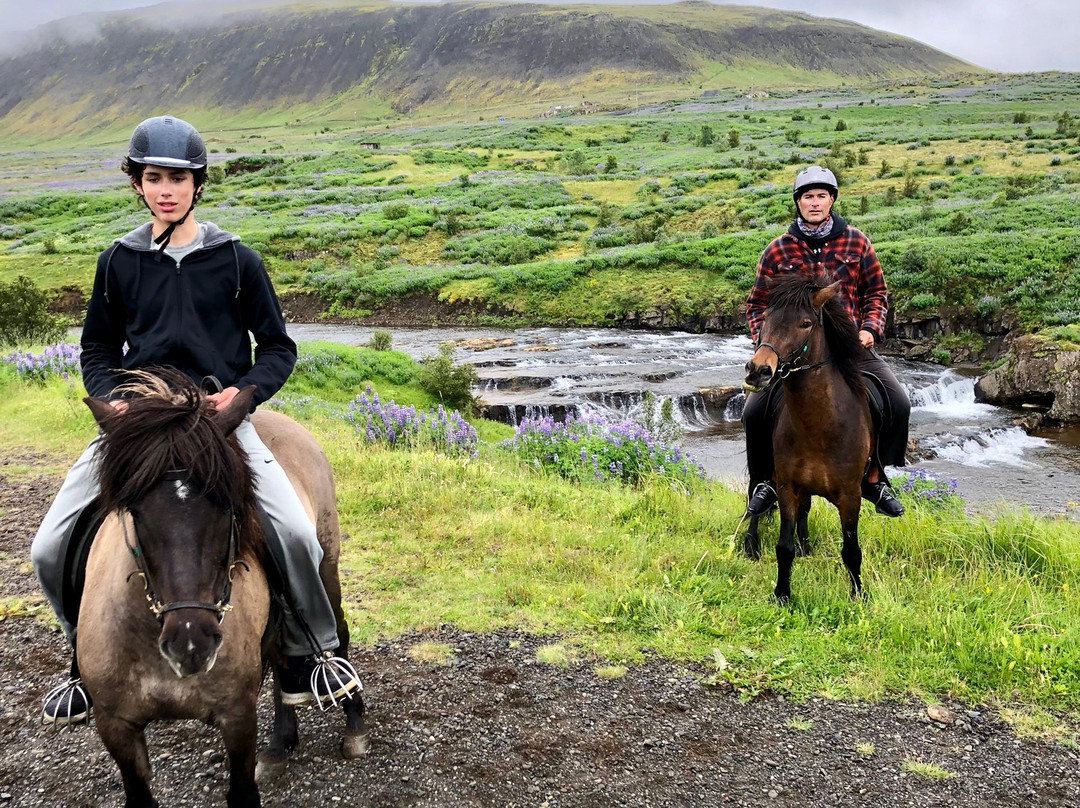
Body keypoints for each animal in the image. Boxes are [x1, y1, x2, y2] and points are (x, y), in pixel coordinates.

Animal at [78, 371, 369, 808]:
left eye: (228, 506)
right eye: (135, 511)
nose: (191, 643)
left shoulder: (237, 717)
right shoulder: (116, 726)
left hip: (325, 564)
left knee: (339, 634)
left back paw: (353, 726)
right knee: (280, 653)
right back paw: (280, 744)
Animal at [738, 276, 872, 600]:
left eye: (805, 323)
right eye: (765, 318)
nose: (758, 371)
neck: (820, 427)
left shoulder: (851, 495)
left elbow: (852, 551)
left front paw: (857, 596)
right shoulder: (787, 487)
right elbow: (783, 547)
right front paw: (782, 595)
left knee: (805, 510)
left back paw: (805, 546)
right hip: (760, 469)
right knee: (754, 502)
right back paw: (751, 546)